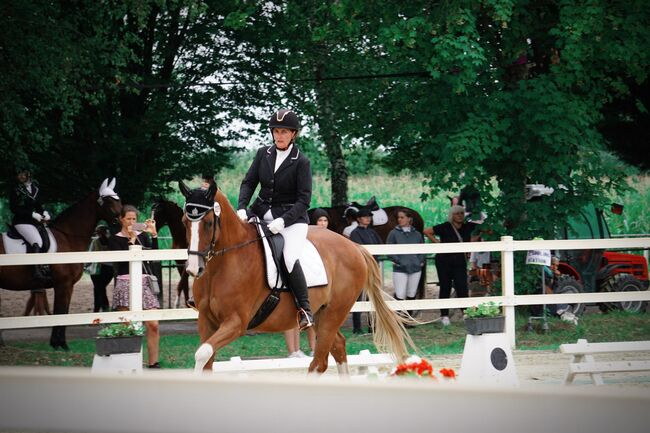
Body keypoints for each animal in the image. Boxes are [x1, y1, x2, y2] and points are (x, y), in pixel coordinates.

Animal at [0, 177, 122, 350]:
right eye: (109, 200)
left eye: (118, 198)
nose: (121, 222)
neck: (68, 237)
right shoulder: (63, 284)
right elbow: (60, 312)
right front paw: (59, 344)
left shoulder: (68, 285)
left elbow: (63, 312)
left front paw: (58, 343)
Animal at [180, 182, 412, 372]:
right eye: (184, 222)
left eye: (209, 223)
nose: (193, 269)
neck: (221, 267)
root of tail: (354, 246)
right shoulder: (206, 320)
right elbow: (206, 360)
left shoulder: (236, 322)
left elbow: (202, 354)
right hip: (320, 314)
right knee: (338, 347)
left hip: (333, 313)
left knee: (319, 363)